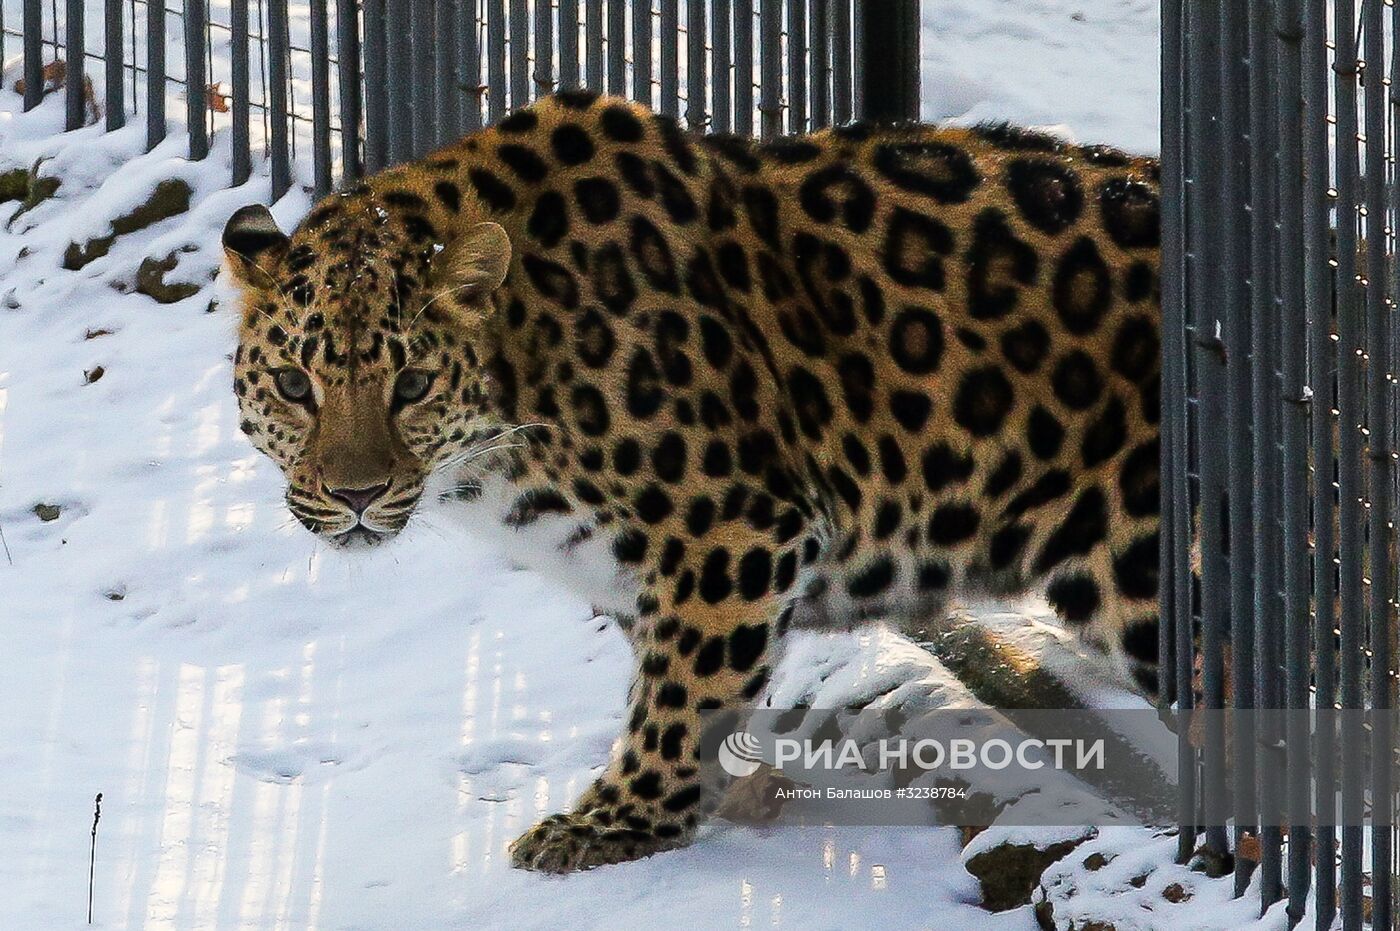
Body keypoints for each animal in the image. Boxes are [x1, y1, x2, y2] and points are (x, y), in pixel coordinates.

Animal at [218, 87, 1159, 873]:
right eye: (294, 384)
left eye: (411, 384)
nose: (355, 495)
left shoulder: (738, 532)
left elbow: (680, 695)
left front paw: (614, 823)